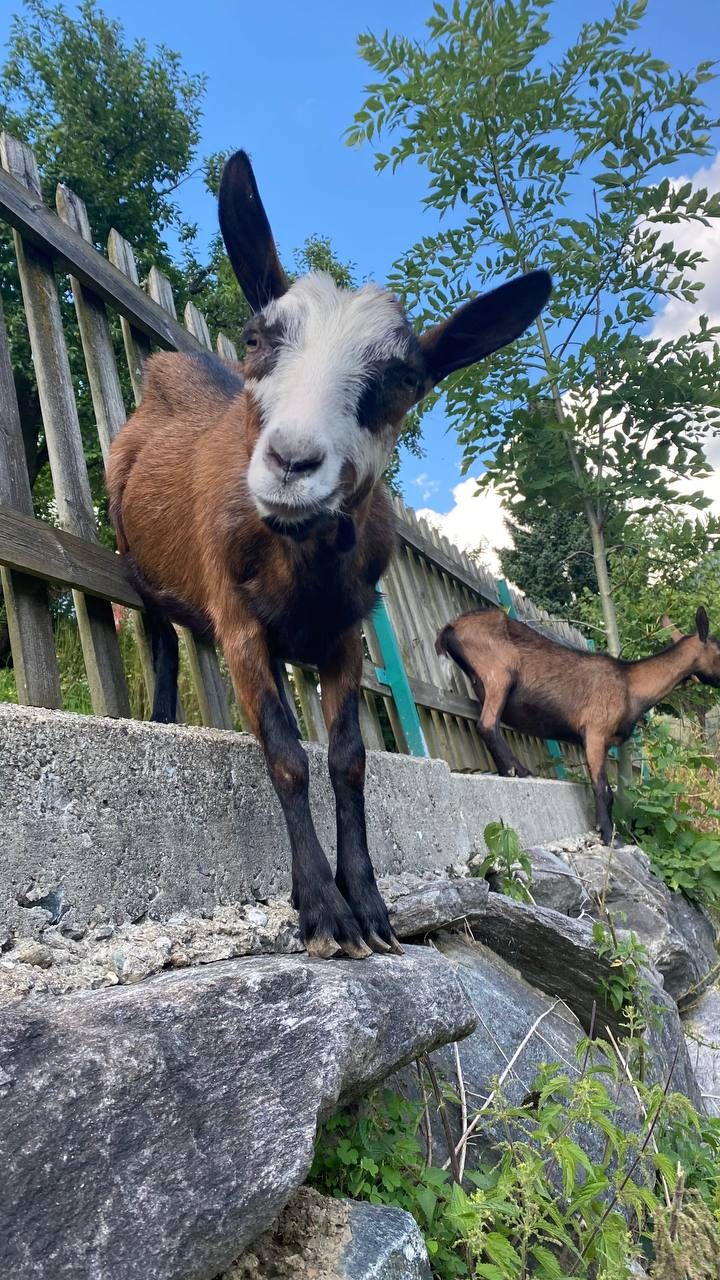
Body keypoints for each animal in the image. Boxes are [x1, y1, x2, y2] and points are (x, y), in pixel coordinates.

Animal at [107, 149, 551, 959]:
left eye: (404, 378)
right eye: (258, 338)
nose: (291, 463)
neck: (303, 567)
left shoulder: (347, 635)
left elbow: (347, 760)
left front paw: (370, 907)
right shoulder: (240, 623)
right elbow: (285, 755)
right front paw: (321, 910)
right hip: (136, 556)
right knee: (157, 632)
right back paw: (162, 717)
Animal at [436, 606, 720, 845]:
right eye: (719, 649)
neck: (630, 685)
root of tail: (450, 627)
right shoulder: (595, 731)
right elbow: (603, 789)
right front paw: (609, 836)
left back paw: (510, 770)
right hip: (499, 674)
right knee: (487, 724)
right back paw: (518, 771)